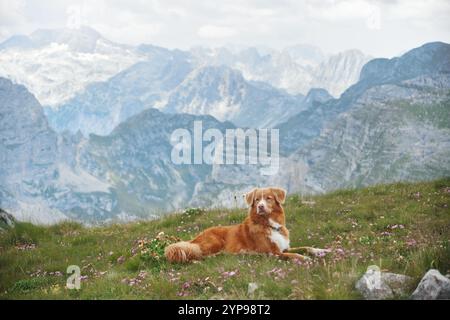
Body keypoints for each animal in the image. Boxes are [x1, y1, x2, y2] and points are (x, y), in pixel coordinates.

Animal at [163, 186, 318, 264]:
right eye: (257, 200)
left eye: (268, 198)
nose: (260, 207)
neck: (269, 225)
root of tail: (195, 238)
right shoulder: (273, 252)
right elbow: (294, 255)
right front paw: (306, 259)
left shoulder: (284, 248)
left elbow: (305, 247)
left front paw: (319, 251)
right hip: (215, 241)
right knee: (200, 255)